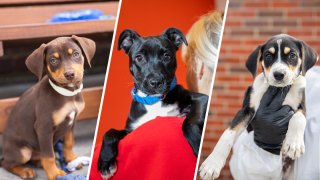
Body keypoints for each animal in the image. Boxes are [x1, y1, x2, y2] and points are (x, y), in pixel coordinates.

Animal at [1, 35, 96, 179]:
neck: (67, 94)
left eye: (76, 54)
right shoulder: (44, 128)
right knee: (7, 163)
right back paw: (24, 171)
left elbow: (69, 143)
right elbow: (49, 155)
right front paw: (54, 173)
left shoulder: (72, 122)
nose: (69, 74)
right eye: (53, 60)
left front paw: (71, 159)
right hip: (23, 151)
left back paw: (39, 163)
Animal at [96, 27, 209, 178]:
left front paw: (197, 143)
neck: (153, 101)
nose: (155, 82)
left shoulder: (202, 99)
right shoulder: (132, 131)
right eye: (139, 58)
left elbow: (189, 123)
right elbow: (110, 132)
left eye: (166, 56)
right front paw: (105, 162)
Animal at [199, 34, 318, 179]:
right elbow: (228, 134)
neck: (279, 89)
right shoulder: (246, 110)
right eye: (268, 56)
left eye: (292, 55)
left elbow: (298, 119)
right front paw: (212, 165)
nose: (279, 74)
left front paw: (294, 145)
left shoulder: (302, 106)